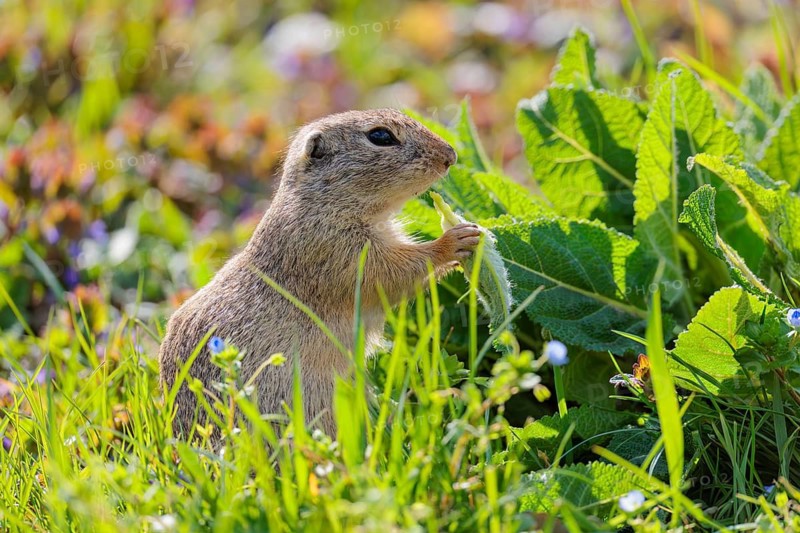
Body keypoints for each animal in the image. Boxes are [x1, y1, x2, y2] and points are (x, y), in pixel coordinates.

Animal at [158, 109, 481, 438]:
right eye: (380, 136)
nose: (450, 155)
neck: (321, 203)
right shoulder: (340, 252)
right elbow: (394, 272)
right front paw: (455, 240)